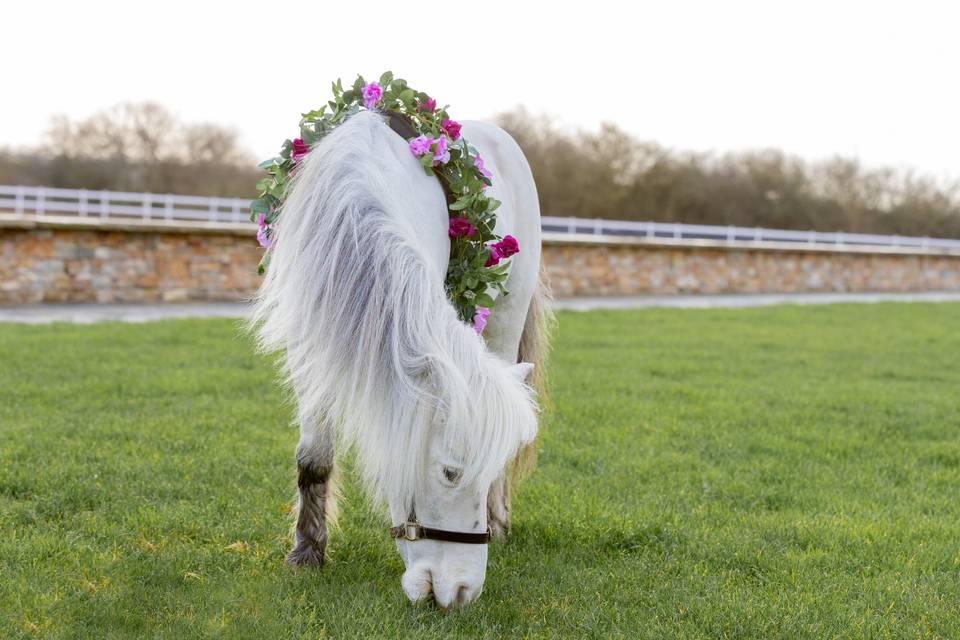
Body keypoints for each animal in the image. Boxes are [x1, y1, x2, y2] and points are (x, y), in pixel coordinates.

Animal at [249, 109, 551, 608]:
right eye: (450, 472)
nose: (464, 591)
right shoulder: (308, 349)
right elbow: (314, 457)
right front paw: (307, 552)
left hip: (507, 317)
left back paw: (499, 520)